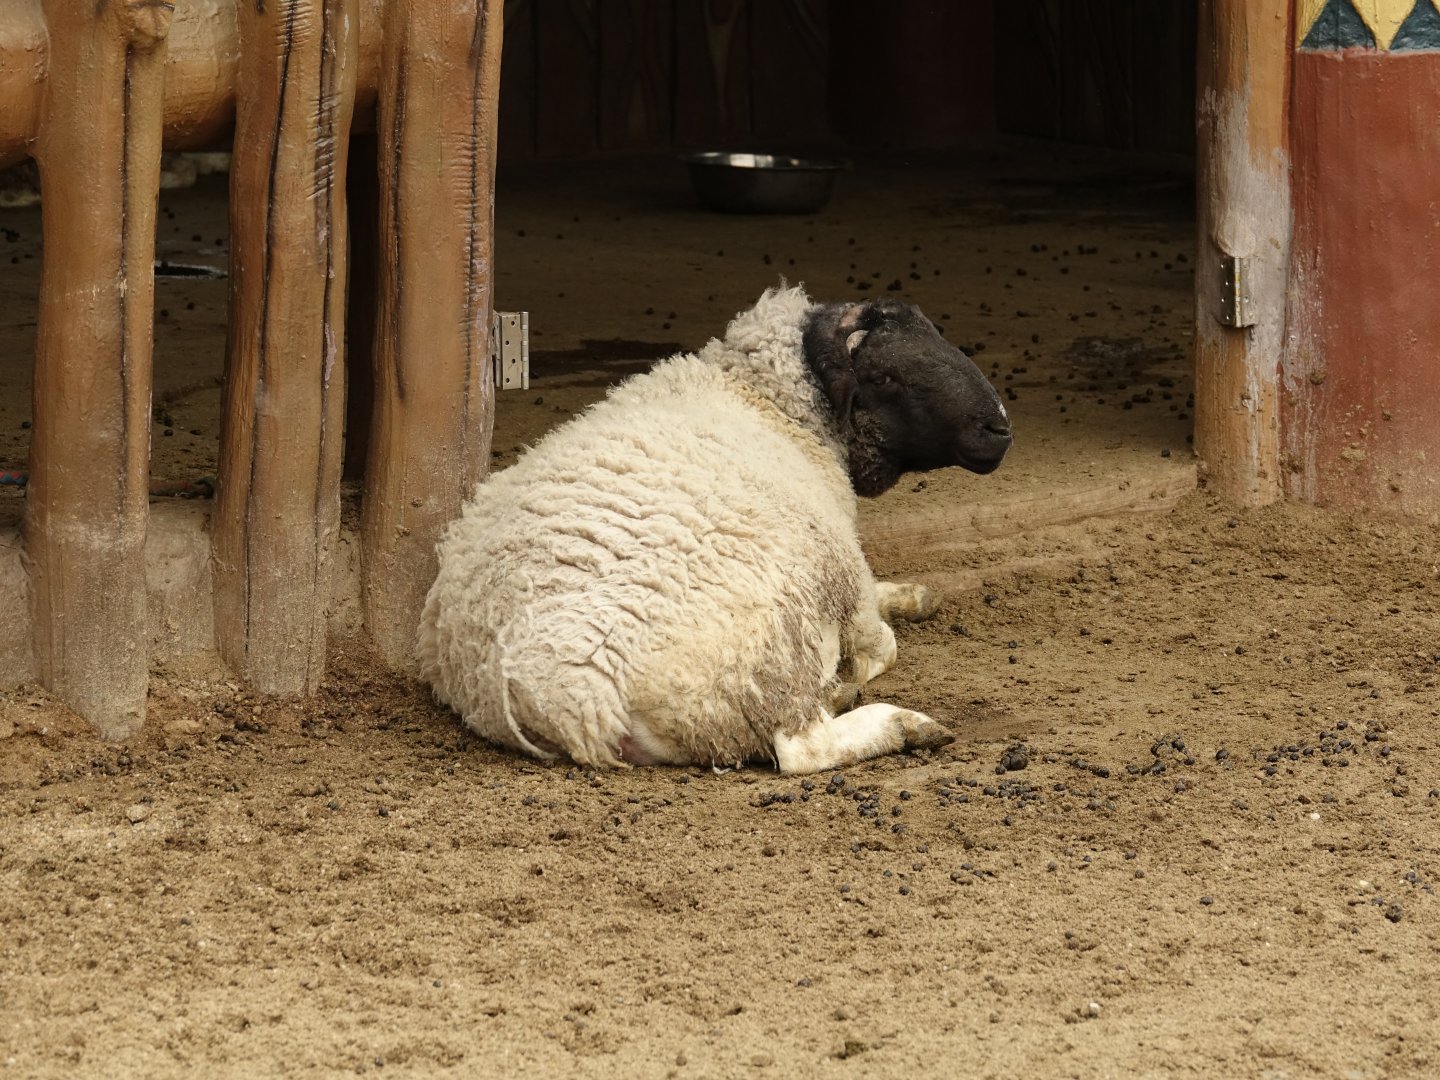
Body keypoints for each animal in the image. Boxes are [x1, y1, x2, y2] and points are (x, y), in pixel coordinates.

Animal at [417, 285, 1012, 774]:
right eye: (885, 377)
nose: (998, 429)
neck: (767, 403)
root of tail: (572, 701)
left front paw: (913, 595)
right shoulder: (844, 580)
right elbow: (880, 643)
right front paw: (873, 647)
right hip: (759, 654)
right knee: (800, 747)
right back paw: (897, 722)